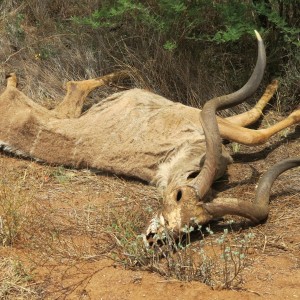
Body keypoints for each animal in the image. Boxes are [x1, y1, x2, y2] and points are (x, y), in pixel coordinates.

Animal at [0, 31, 298, 239]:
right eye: (178, 196)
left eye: (197, 225)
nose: (157, 236)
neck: (176, 155)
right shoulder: (202, 117)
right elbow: (252, 130)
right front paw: (288, 104)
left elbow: (251, 126)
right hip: (62, 111)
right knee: (74, 85)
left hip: (65, 113)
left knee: (74, 86)